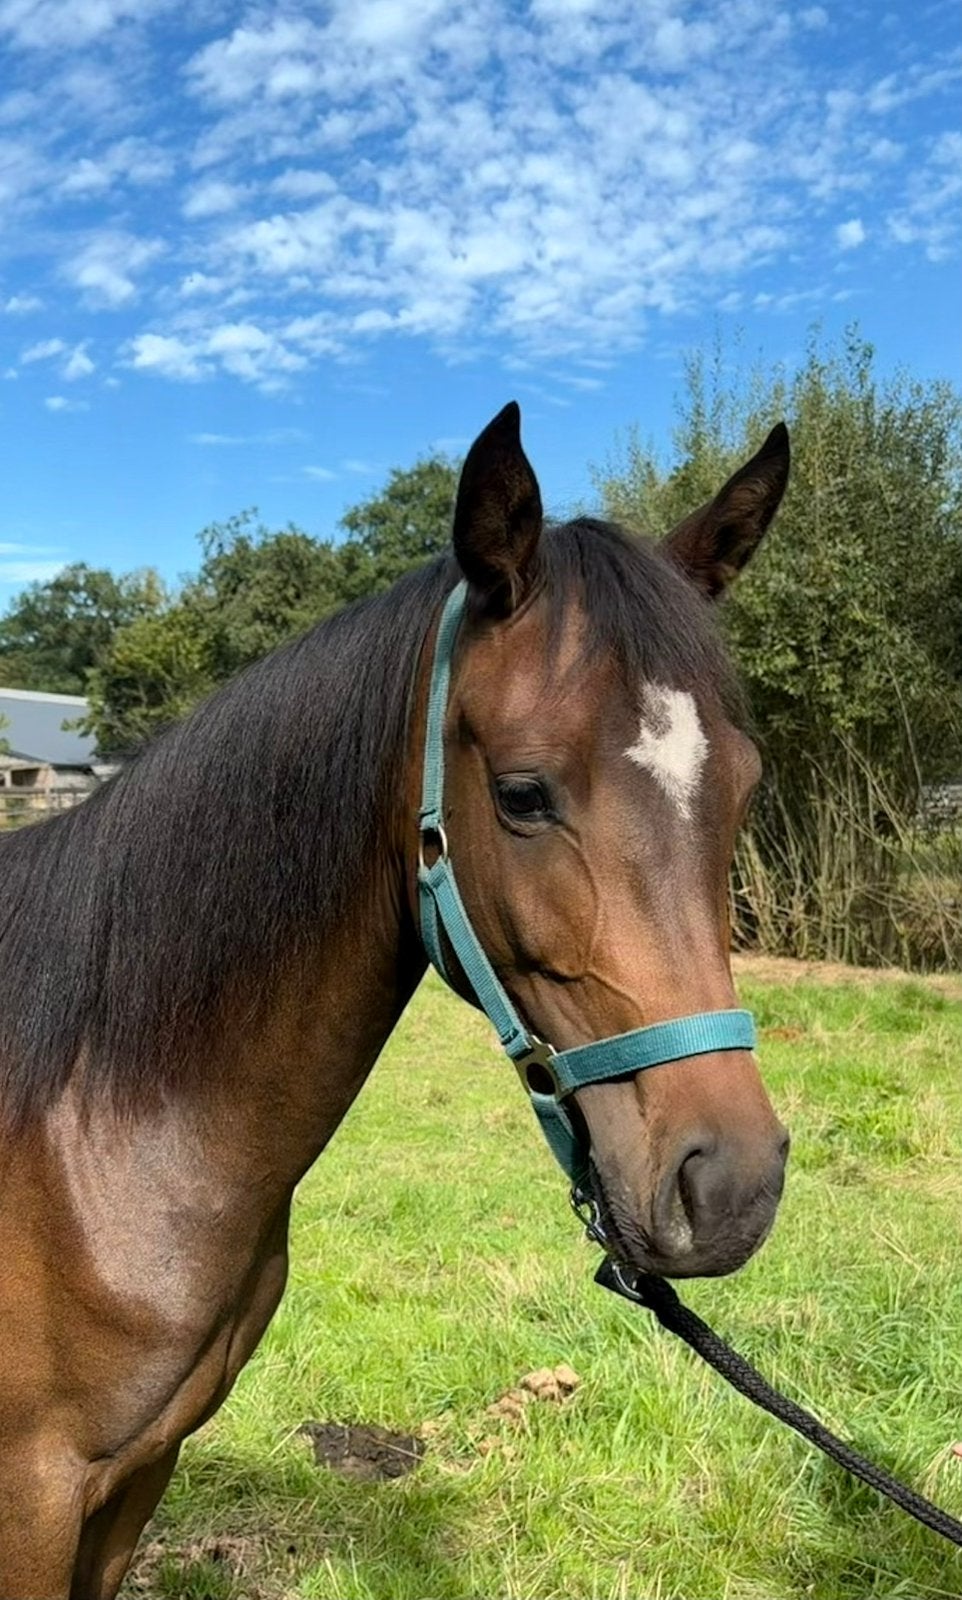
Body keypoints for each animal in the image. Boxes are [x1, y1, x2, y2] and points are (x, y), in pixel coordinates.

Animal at [0, 402, 791, 1597]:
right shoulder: (35, 1496)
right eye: (521, 793)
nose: (732, 1186)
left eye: (742, 786)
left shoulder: (132, 1480)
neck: (88, 1136)